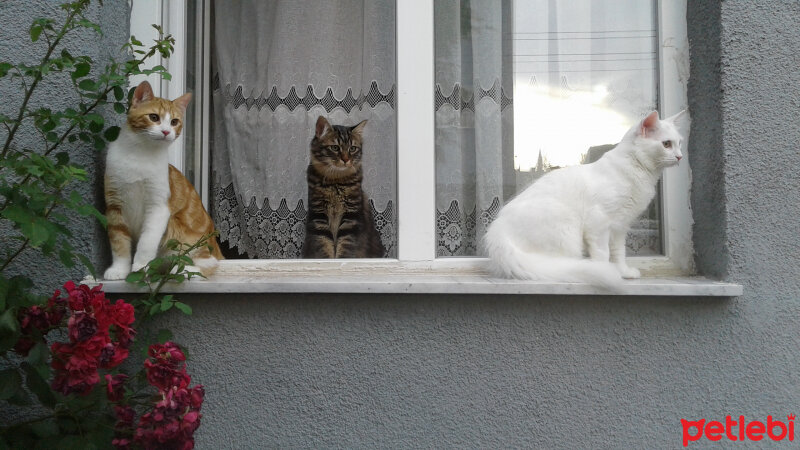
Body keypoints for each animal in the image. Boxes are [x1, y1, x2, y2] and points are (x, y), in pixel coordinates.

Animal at [103, 79, 223, 280]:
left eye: (174, 121)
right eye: (153, 117)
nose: (167, 131)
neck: (141, 154)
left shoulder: (158, 207)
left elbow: (147, 241)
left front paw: (140, 267)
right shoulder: (114, 206)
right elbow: (119, 243)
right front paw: (119, 269)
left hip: (181, 231)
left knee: (208, 263)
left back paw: (183, 270)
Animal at [304, 114, 384, 258]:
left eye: (352, 148)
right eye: (335, 148)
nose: (346, 159)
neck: (335, 181)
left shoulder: (351, 217)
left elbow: (345, 247)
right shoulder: (318, 215)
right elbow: (324, 245)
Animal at [482, 111, 688, 288]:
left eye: (679, 143)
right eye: (666, 144)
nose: (680, 157)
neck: (638, 171)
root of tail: (498, 231)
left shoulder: (619, 228)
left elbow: (618, 254)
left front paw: (623, 272)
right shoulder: (599, 223)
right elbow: (603, 254)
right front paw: (606, 271)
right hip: (566, 229)